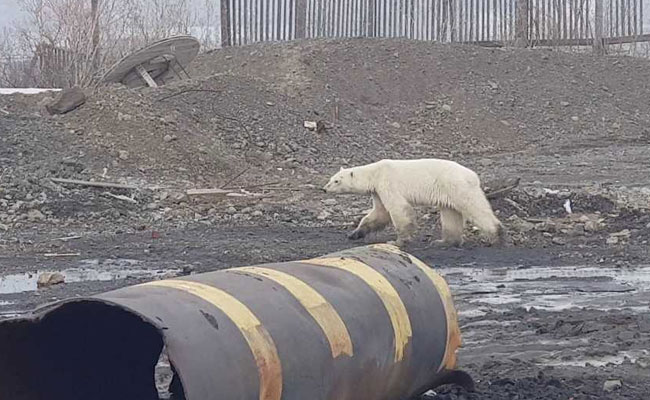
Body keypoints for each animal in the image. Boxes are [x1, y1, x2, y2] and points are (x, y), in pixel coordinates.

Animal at [322, 158, 504, 247]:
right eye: (331, 178)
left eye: (336, 181)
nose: (324, 189)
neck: (375, 173)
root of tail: (473, 175)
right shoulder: (378, 191)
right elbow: (379, 213)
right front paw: (354, 233)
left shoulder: (388, 182)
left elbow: (398, 209)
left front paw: (398, 241)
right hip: (448, 192)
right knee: (450, 213)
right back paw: (443, 242)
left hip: (457, 186)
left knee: (474, 208)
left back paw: (496, 235)